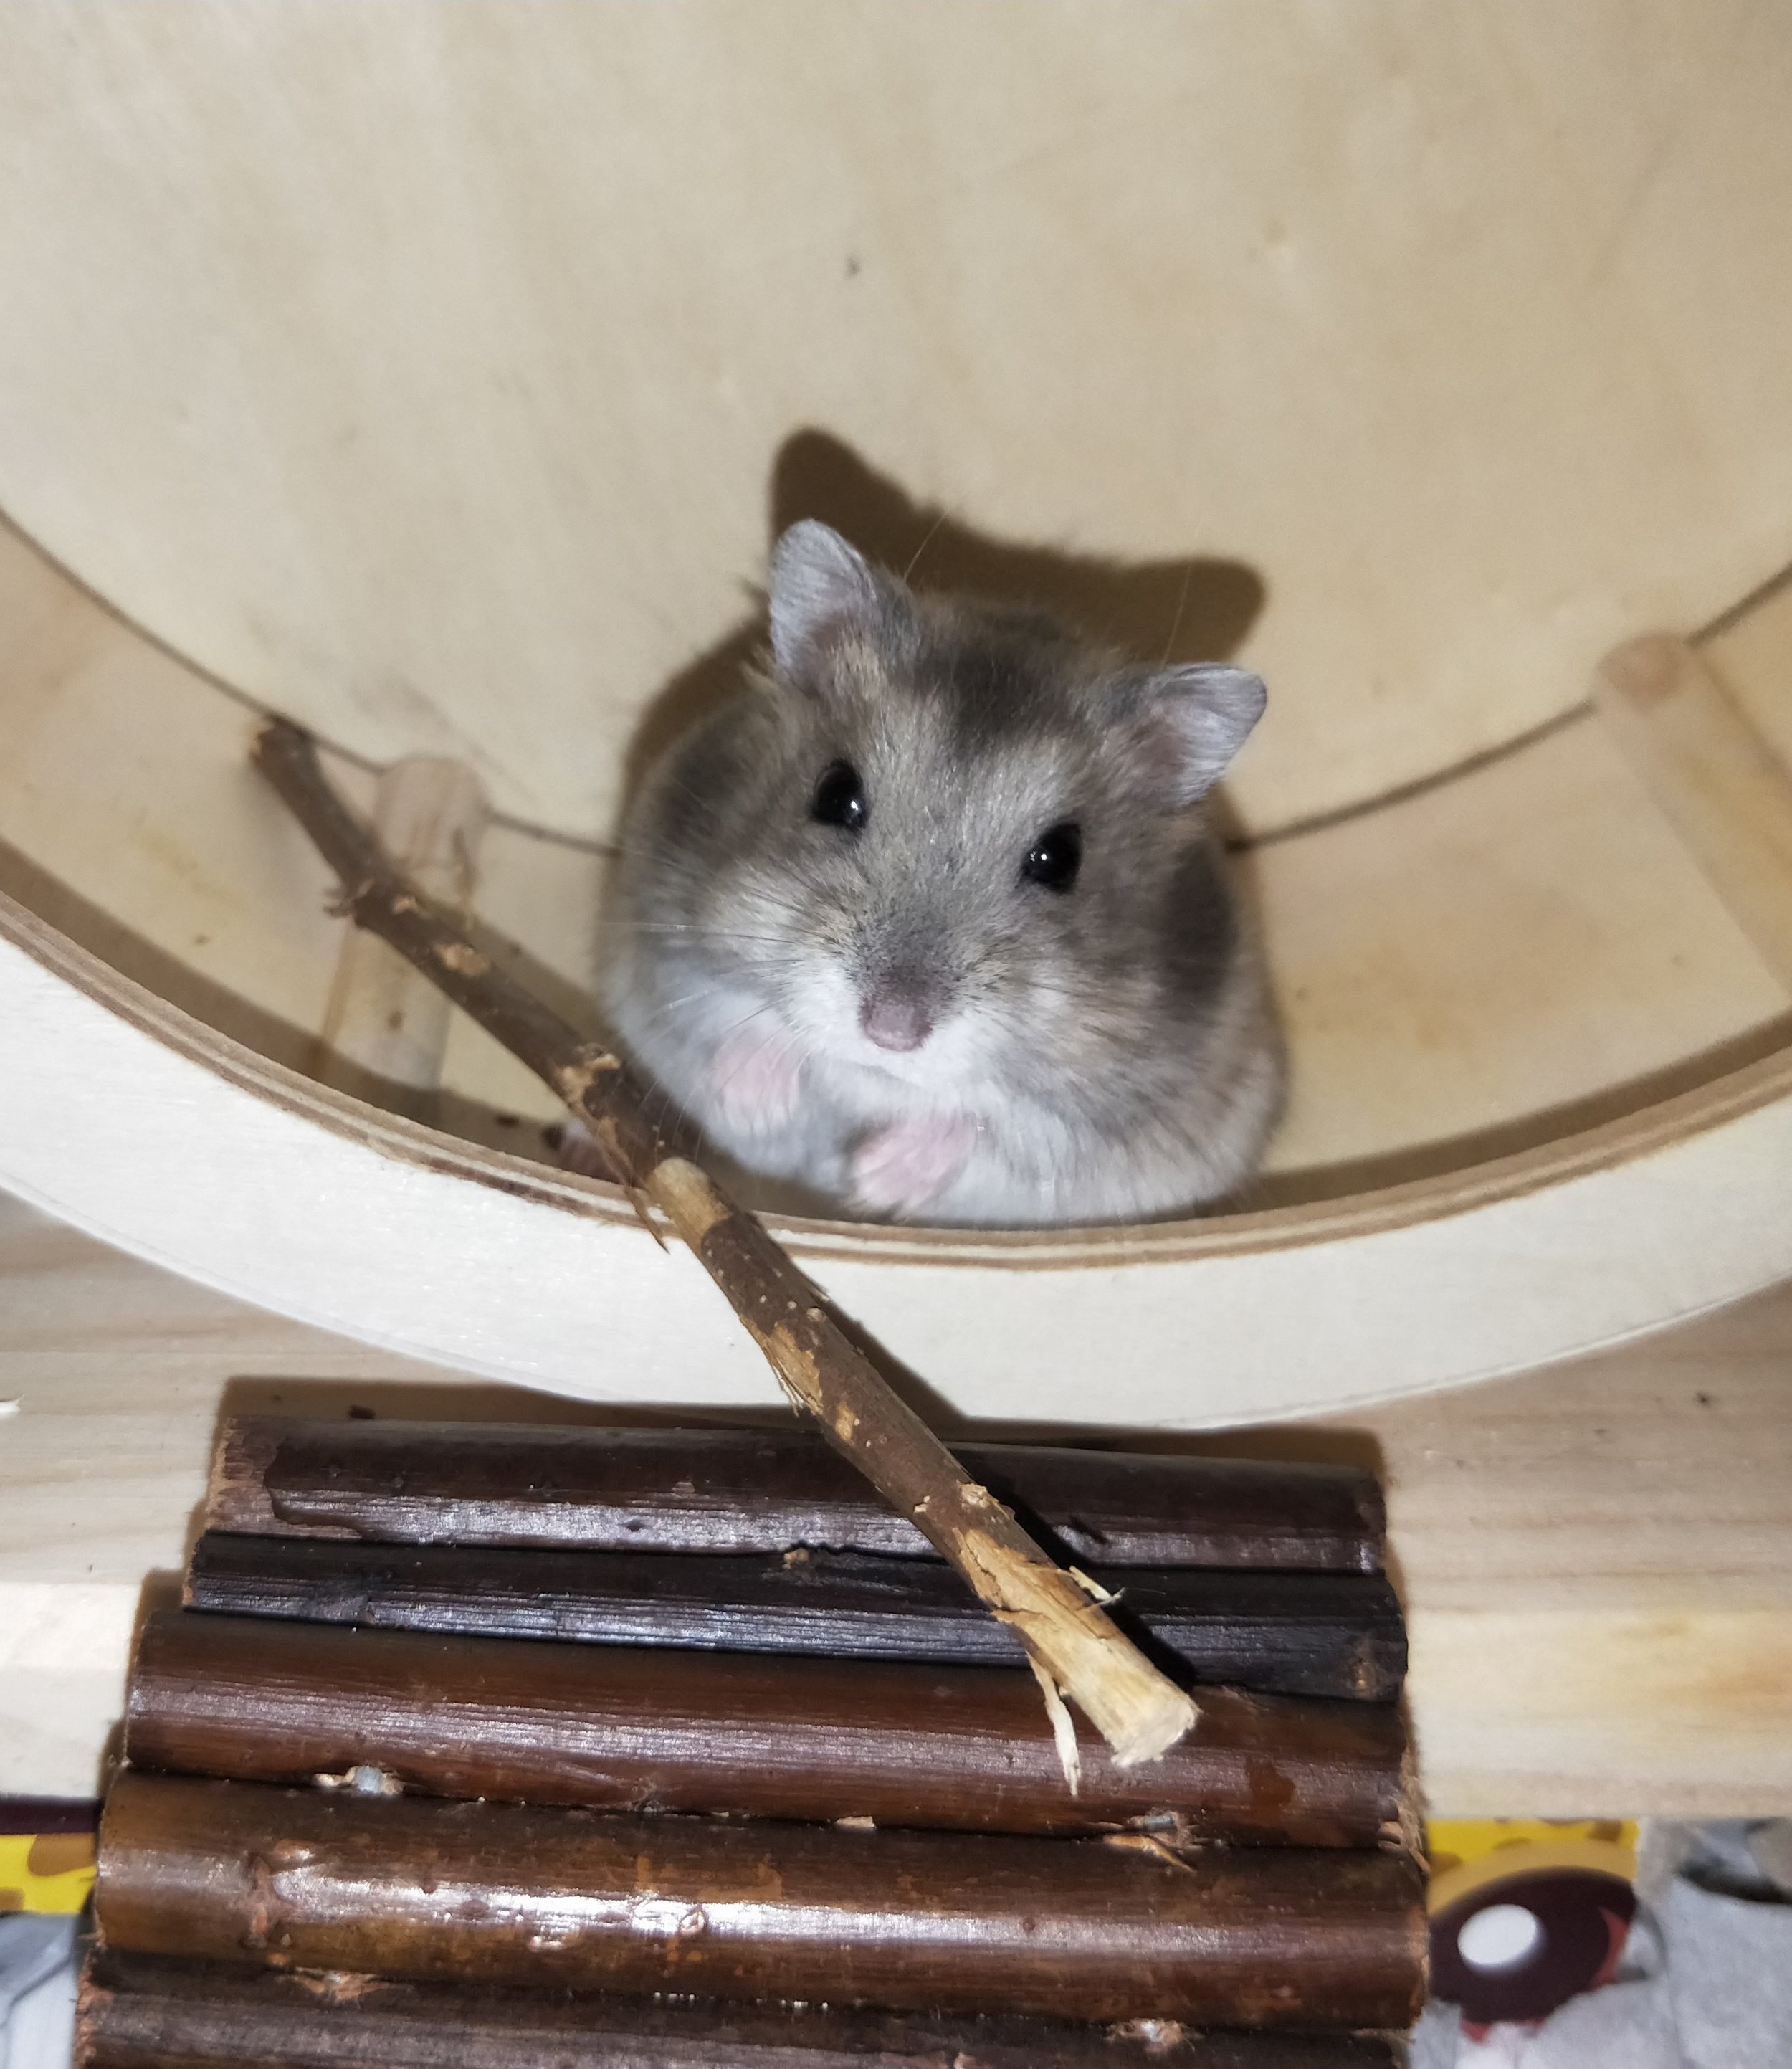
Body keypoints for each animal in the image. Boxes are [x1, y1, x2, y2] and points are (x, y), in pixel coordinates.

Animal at [596, 520, 1283, 1227]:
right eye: (835, 794)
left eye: (1061, 859)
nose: (890, 1031)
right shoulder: (663, 946)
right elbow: (736, 1014)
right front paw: (756, 1110)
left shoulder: (1114, 1115)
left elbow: (988, 1122)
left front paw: (872, 1180)